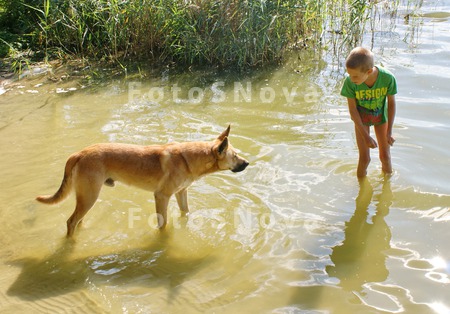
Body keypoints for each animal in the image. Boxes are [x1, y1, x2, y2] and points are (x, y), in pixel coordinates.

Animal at [36, 125, 248, 236]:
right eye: (235, 155)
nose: (247, 163)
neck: (189, 159)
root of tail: (79, 153)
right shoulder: (161, 196)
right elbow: (163, 224)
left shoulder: (181, 192)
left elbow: (185, 213)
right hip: (89, 196)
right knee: (71, 222)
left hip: (86, 198)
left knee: (78, 221)